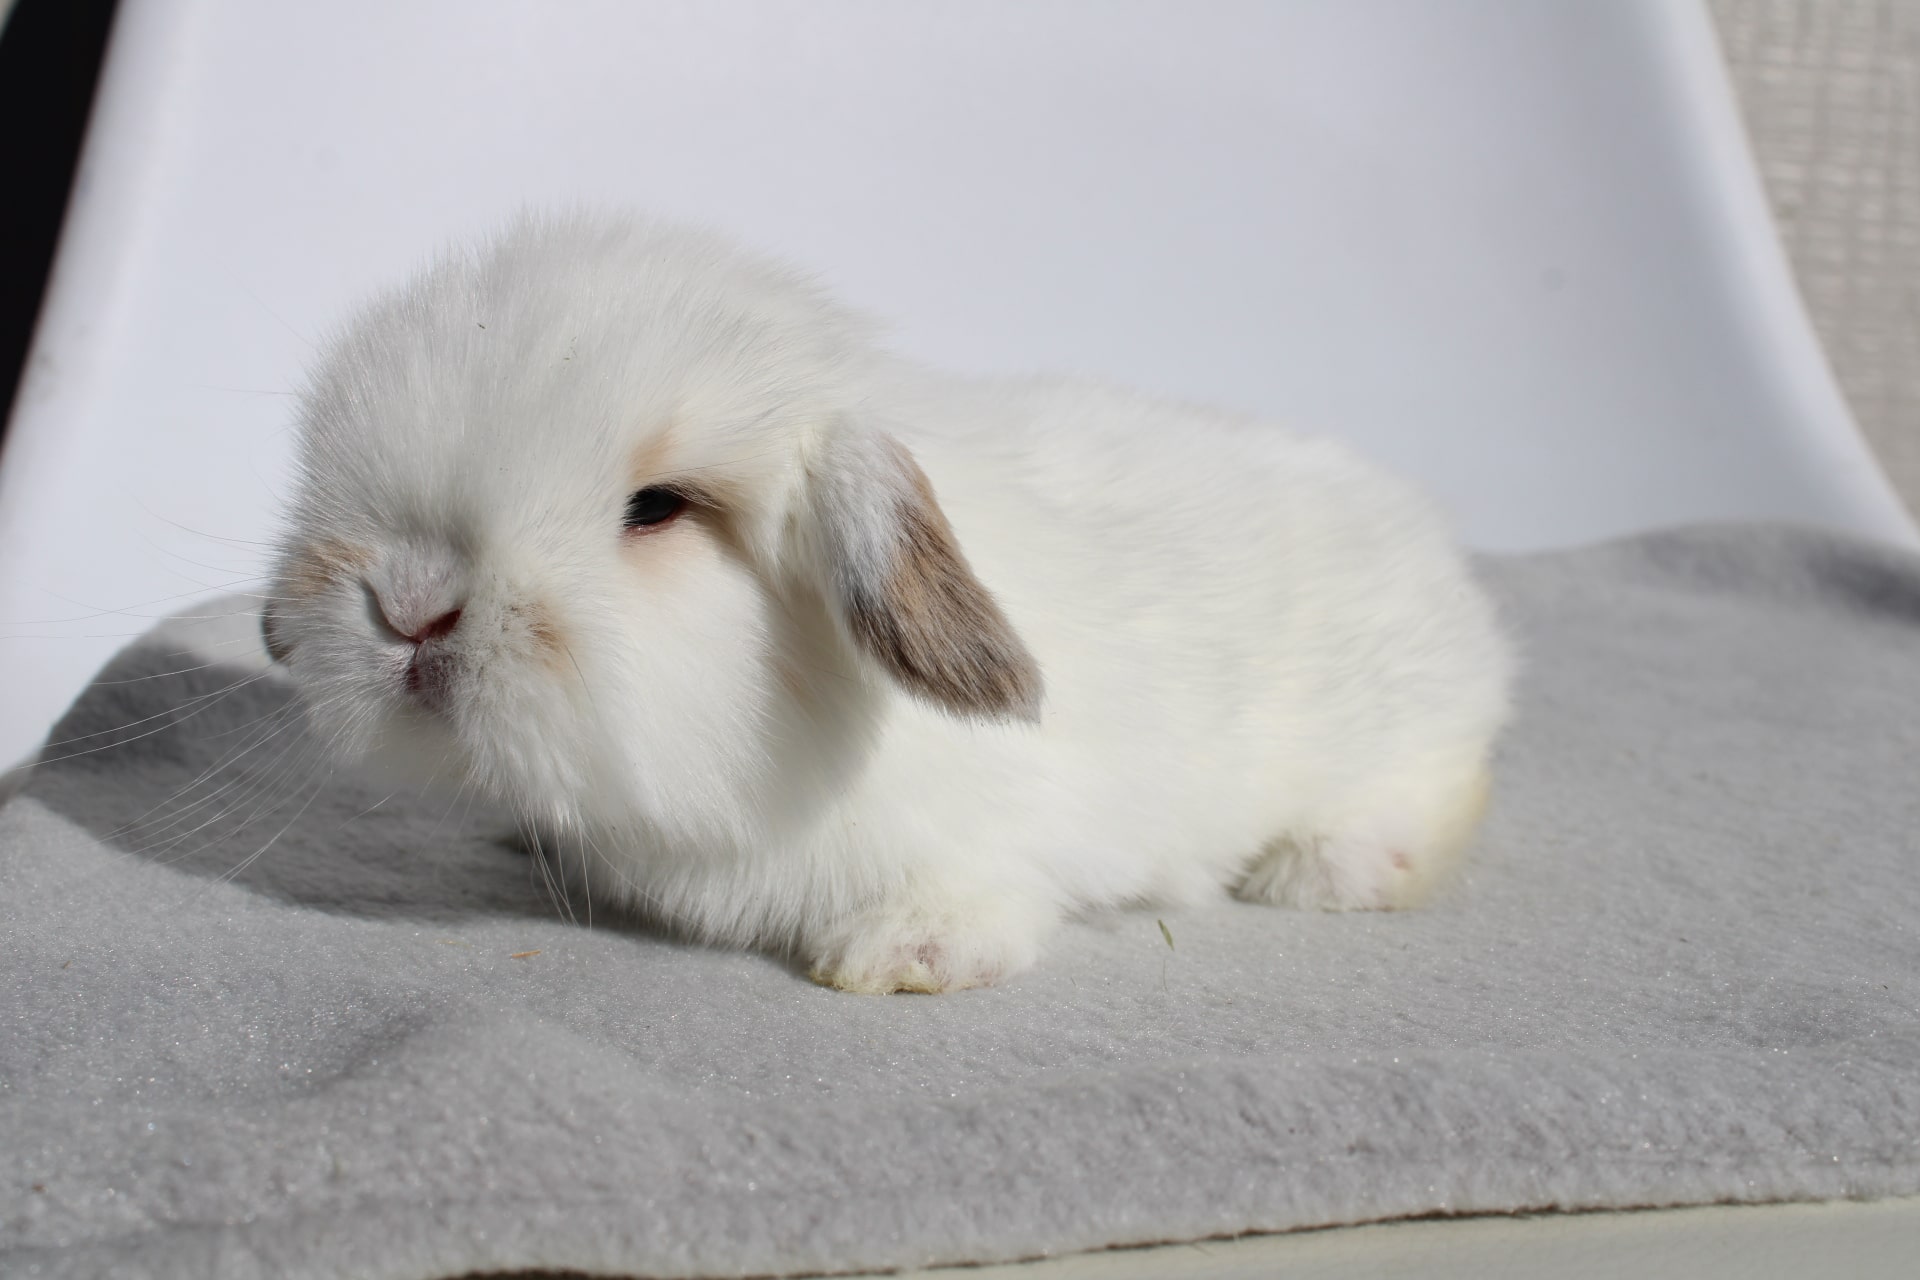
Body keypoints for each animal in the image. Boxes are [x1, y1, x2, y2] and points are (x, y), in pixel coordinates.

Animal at [262, 210, 1511, 994]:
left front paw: (900, 957)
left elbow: (983, 893)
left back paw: (1337, 868)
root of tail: (1438, 554)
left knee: (1443, 777)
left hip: (1394, 726)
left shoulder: (1003, 831)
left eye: (658, 506)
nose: (412, 604)